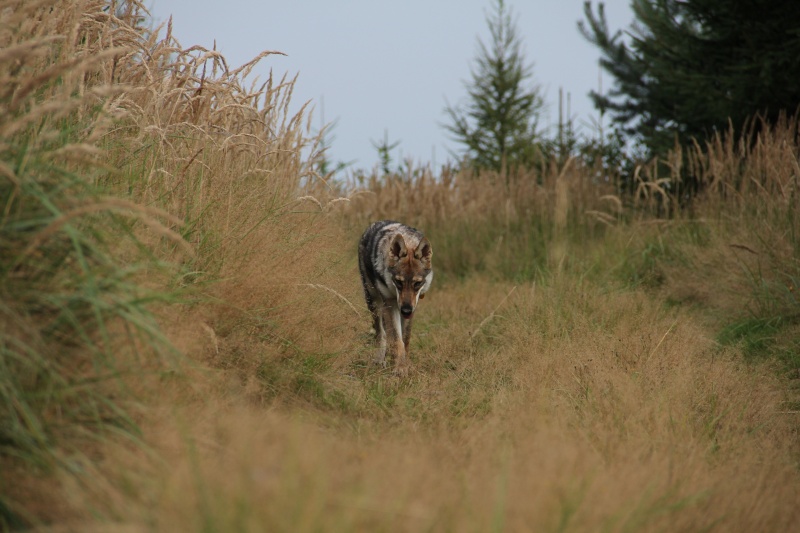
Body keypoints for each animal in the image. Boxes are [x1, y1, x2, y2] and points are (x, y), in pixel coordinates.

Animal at [358, 218, 432, 376]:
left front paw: (405, 365)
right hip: (374, 302)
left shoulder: (412, 308)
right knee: (381, 334)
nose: (406, 310)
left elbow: (405, 339)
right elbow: (397, 341)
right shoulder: (391, 304)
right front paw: (400, 368)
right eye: (399, 282)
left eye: (417, 284)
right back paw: (379, 360)